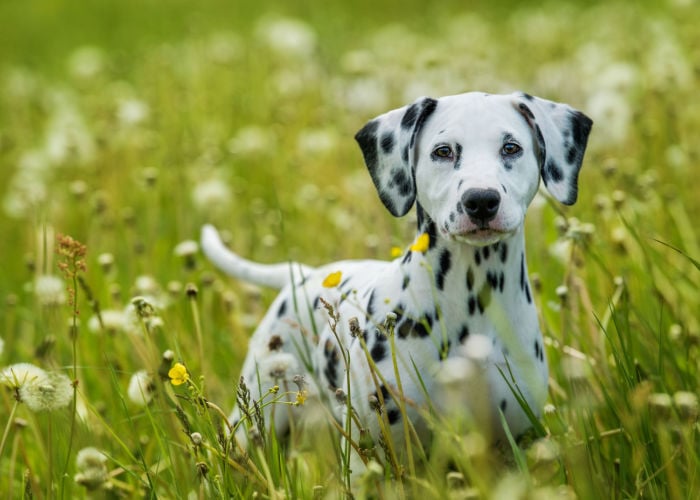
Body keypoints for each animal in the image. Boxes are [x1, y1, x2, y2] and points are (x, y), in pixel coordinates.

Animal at [201, 90, 592, 476]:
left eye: (511, 147)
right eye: (443, 151)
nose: (481, 200)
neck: (471, 307)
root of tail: (304, 275)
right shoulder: (371, 456)